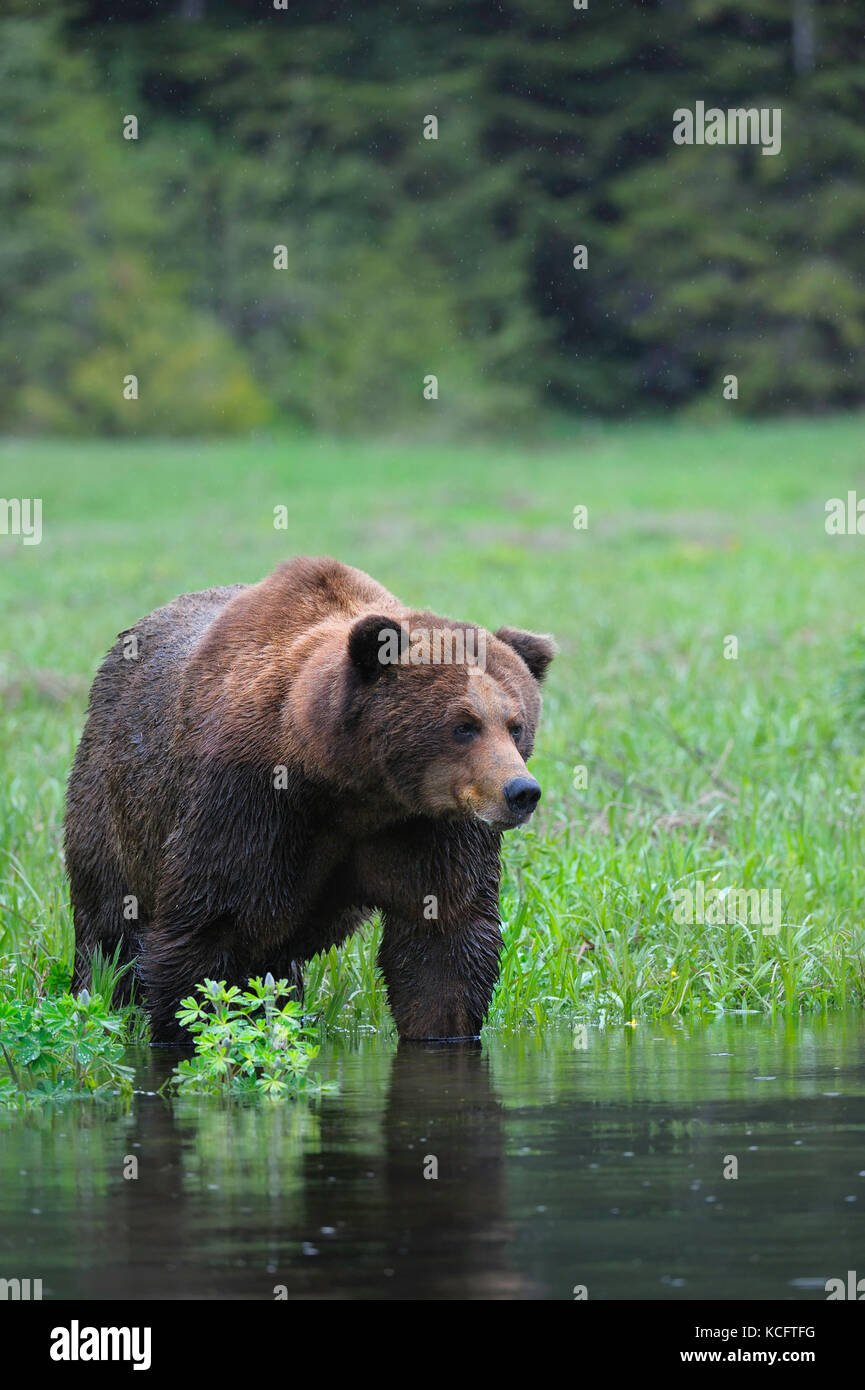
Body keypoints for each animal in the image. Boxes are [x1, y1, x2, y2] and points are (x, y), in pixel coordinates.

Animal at [66, 556, 556, 1045]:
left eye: (516, 725)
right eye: (464, 725)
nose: (521, 791)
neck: (350, 787)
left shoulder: (428, 828)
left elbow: (444, 945)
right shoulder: (247, 801)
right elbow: (208, 932)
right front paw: (189, 1027)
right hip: (112, 796)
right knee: (107, 921)